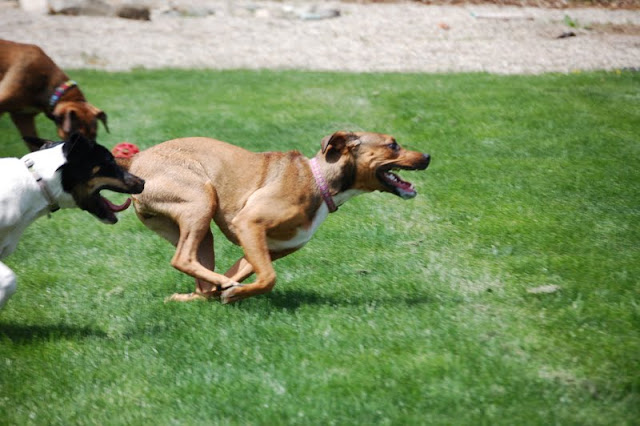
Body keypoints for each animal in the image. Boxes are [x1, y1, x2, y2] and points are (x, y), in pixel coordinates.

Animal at [120, 131, 430, 304]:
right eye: (393, 145)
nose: (427, 156)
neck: (318, 181)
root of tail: (133, 162)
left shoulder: (264, 248)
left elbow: (247, 277)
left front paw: (232, 291)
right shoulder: (249, 225)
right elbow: (268, 278)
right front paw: (233, 293)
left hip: (200, 231)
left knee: (200, 282)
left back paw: (191, 296)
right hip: (201, 201)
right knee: (182, 259)